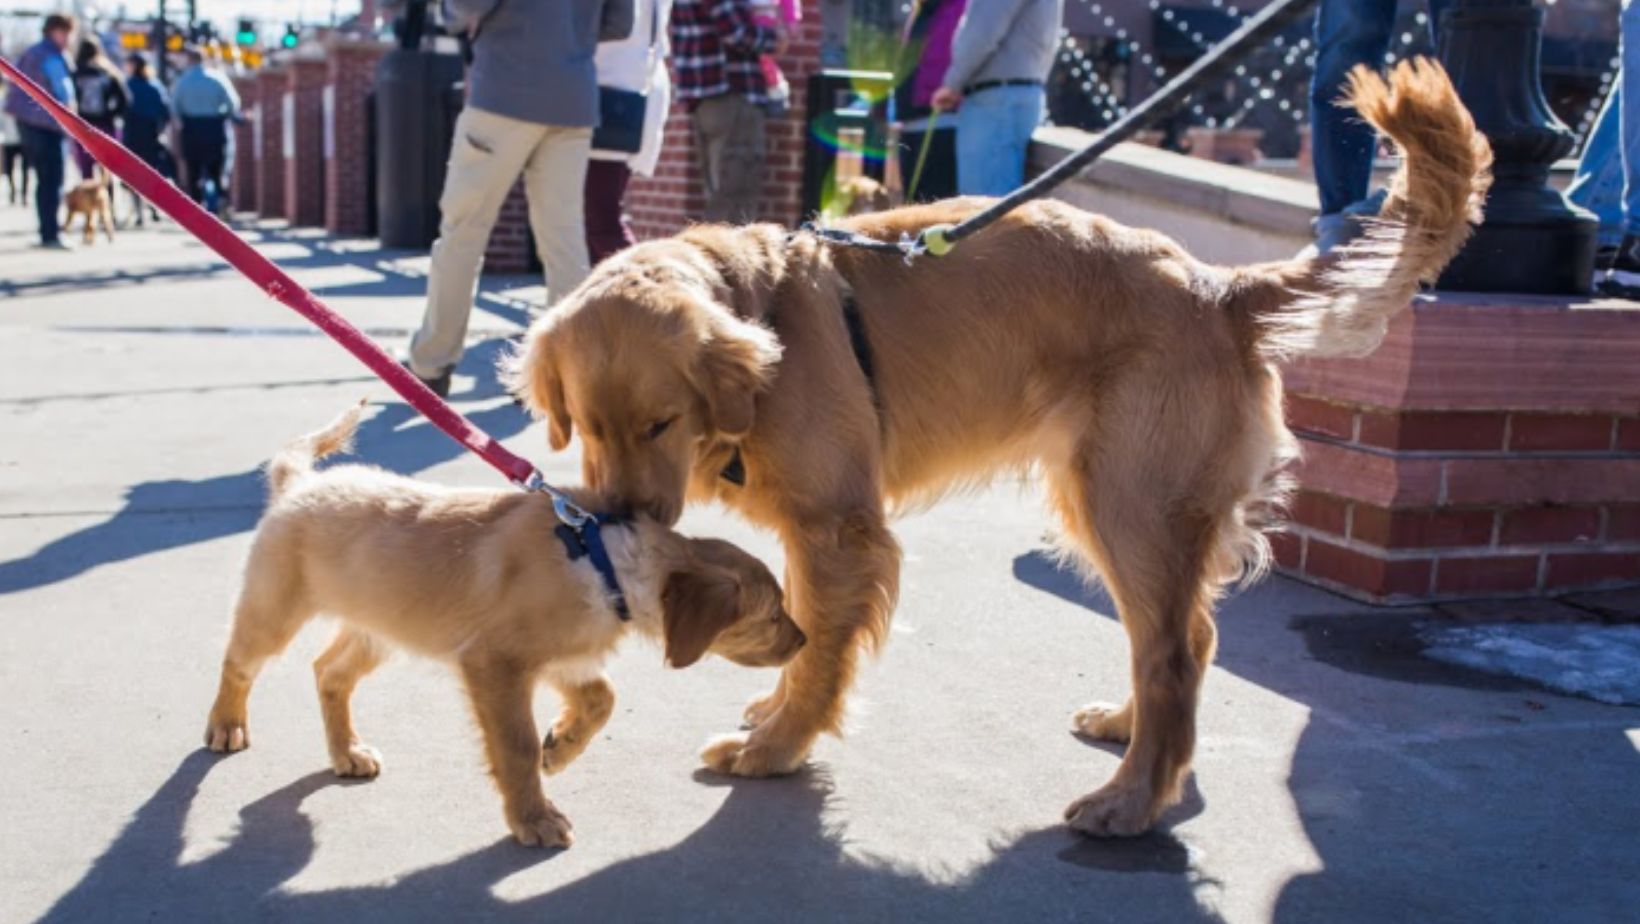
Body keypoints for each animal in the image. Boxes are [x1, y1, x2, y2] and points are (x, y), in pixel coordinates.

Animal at [205, 403, 806, 846]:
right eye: (772, 615)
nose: (803, 642)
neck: (602, 559)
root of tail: (298, 483)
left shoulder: (559, 655)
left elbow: (602, 697)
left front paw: (561, 747)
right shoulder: (495, 662)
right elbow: (515, 747)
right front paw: (534, 817)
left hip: (381, 628)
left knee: (329, 671)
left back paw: (346, 751)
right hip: (275, 608)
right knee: (239, 661)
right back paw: (227, 724)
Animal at [505, 61, 1495, 833]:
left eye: (660, 423)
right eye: (582, 422)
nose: (621, 520)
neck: (761, 317)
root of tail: (1218, 287)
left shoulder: (838, 530)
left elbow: (820, 645)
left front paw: (778, 747)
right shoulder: (811, 532)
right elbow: (803, 631)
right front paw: (771, 717)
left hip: (1130, 506)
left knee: (1172, 653)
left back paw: (1131, 802)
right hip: (1109, 504)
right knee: (1188, 635)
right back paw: (1134, 736)